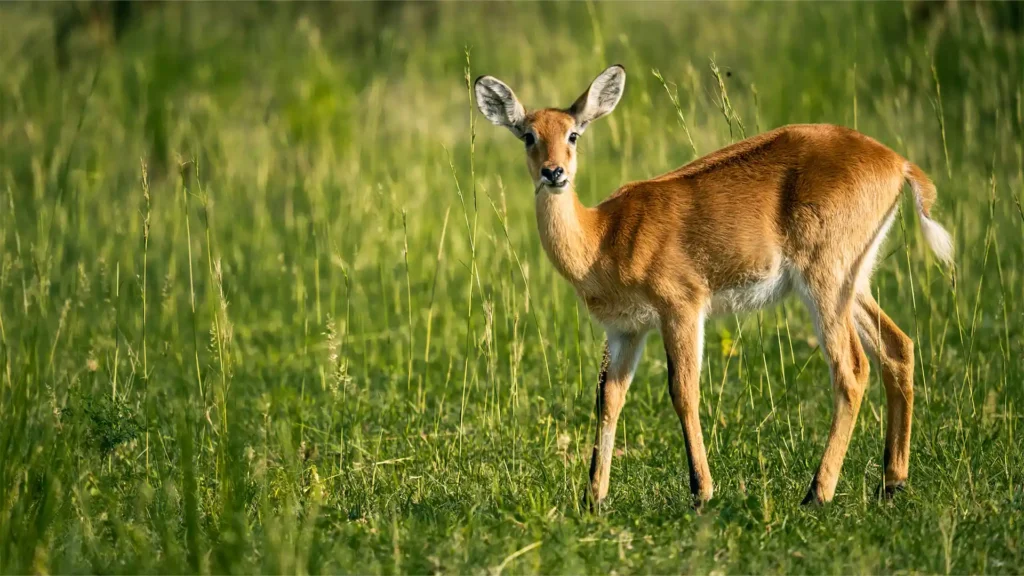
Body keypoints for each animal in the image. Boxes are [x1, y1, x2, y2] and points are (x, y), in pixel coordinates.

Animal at [475, 63, 954, 506]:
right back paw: (892, 482)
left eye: (573, 134)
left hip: (825, 282)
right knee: (898, 347)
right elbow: (608, 399)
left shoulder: (681, 309)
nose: (554, 173)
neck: (604, 236)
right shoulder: (626, 330)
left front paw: (701, 490)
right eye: (528, 135)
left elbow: (683, 392)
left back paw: (817, 493)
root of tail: (898, 163)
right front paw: (594, 497)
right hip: (854, 282)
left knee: (852, 369)